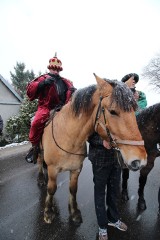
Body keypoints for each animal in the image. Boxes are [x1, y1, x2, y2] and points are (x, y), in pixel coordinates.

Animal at [37, 74, 148, 224]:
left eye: (134, 111)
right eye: (113, 111)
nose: (140, 160)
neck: (68, 137)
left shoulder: (76, 169)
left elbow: (73, 189)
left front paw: (74, 212)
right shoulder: (53, 169)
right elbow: (51, 189)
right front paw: (48, 212)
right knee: (39, 161)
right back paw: (41, 178)